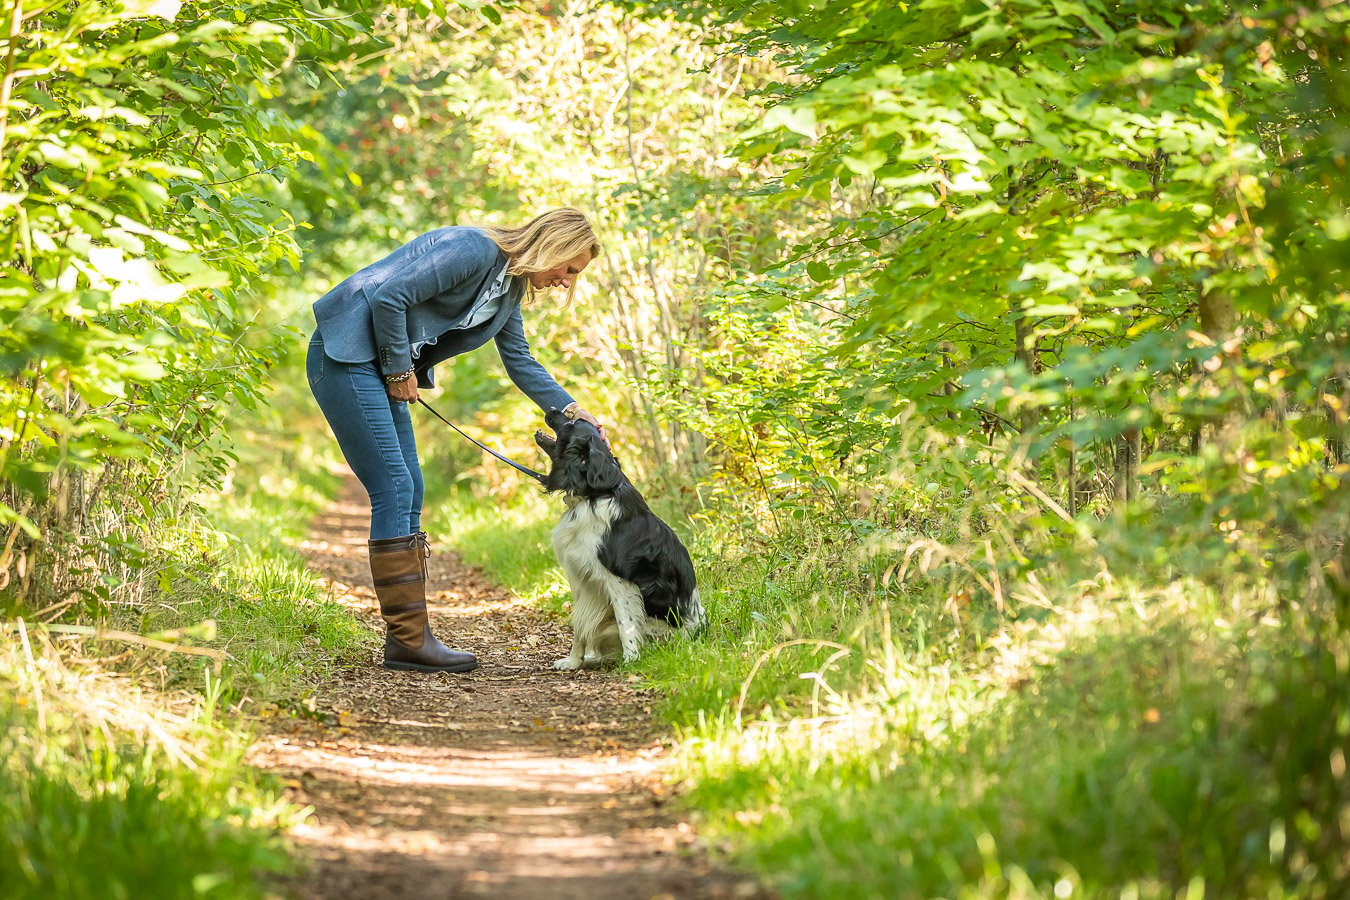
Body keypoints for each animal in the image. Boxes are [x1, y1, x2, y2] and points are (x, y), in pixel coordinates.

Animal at [537, 407, 707, 669]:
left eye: (572, 423)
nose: (554, 410)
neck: (593, 495)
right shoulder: (580, 577)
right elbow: (579, 626)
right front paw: (573, 662)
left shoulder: (618, 580)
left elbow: (626, 623)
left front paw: (631, 660)